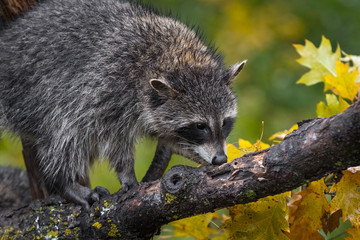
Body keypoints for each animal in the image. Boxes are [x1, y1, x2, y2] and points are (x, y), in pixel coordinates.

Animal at [0, 0, 245, 207]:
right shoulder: (105, 85)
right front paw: (126, 173)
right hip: (32, 91)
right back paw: (63, 182)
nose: (220, 159)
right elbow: (111, 138)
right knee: (63, 132)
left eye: (224, 123)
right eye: (200, 126)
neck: (178, 60)